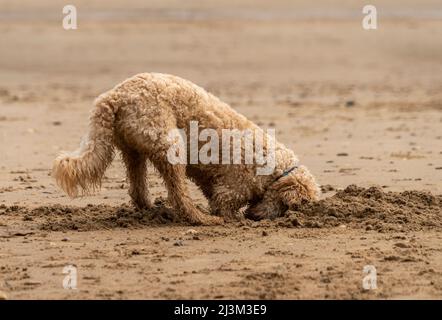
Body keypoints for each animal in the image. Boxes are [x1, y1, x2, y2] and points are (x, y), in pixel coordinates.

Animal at [52, 74, 322, 225]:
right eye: (287, 207)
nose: (255, 218)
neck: (276, 171)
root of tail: (114, 96)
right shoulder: (229, 190)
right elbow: (224, 206)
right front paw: (232, 220)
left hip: (134, 150)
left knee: (138, 189)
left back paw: (151, 210)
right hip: (169, 144)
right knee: (179, 196)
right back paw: (202, 219)